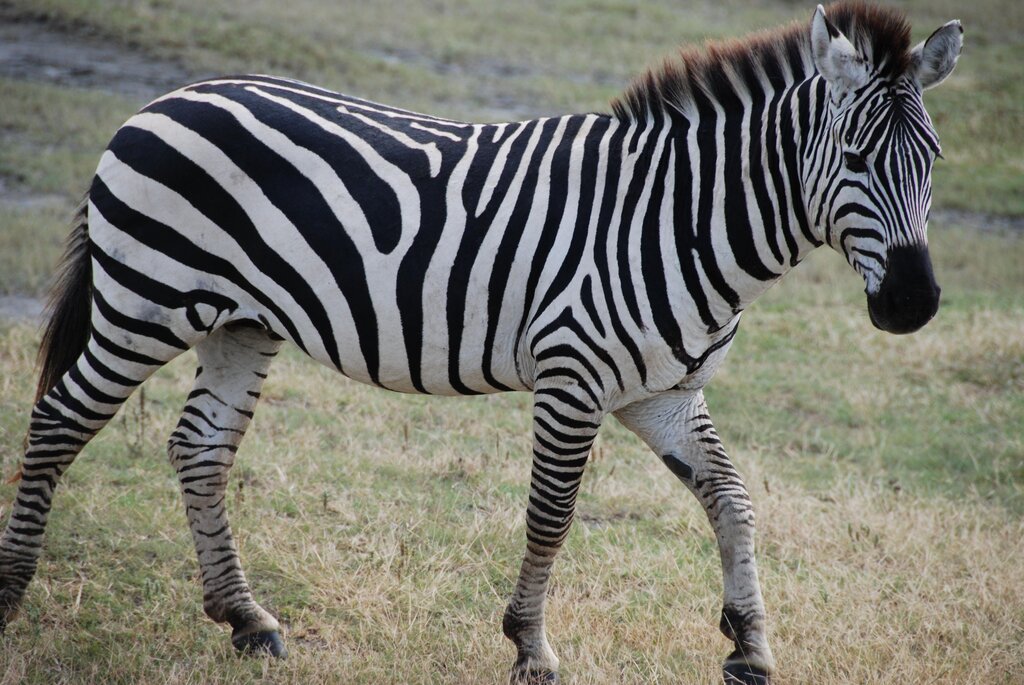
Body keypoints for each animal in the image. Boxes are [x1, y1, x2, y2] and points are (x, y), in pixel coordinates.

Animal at [0, 2, 961, 682]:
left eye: (935, 160)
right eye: (854, 158)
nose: (913, 305)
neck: (681, 220)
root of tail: (161, 101)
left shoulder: (664, 390)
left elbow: (731, 498)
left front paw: (751, 647)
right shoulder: (574, 377)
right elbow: (553, 513)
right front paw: (531, 648)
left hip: (240, 321)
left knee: (198, 447)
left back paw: (248, 620)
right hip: (146, 301)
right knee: (56, 423)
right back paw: (11, 597)